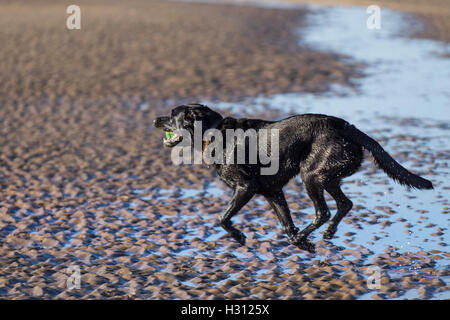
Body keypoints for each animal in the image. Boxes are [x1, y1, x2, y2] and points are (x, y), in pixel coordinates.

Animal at [154, 104, 432, 251]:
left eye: (172, 115)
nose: (155, 118)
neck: (213, 133)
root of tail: (348, 127)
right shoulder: (272, 192)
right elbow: (285, 222)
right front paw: (300, 244)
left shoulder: (246, 187)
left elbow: (222, 218)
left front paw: (240, 237)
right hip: (328, 177)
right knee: (345, 204)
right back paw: (325, 234)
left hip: (311, 175)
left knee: (324, 211)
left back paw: (309, 235)